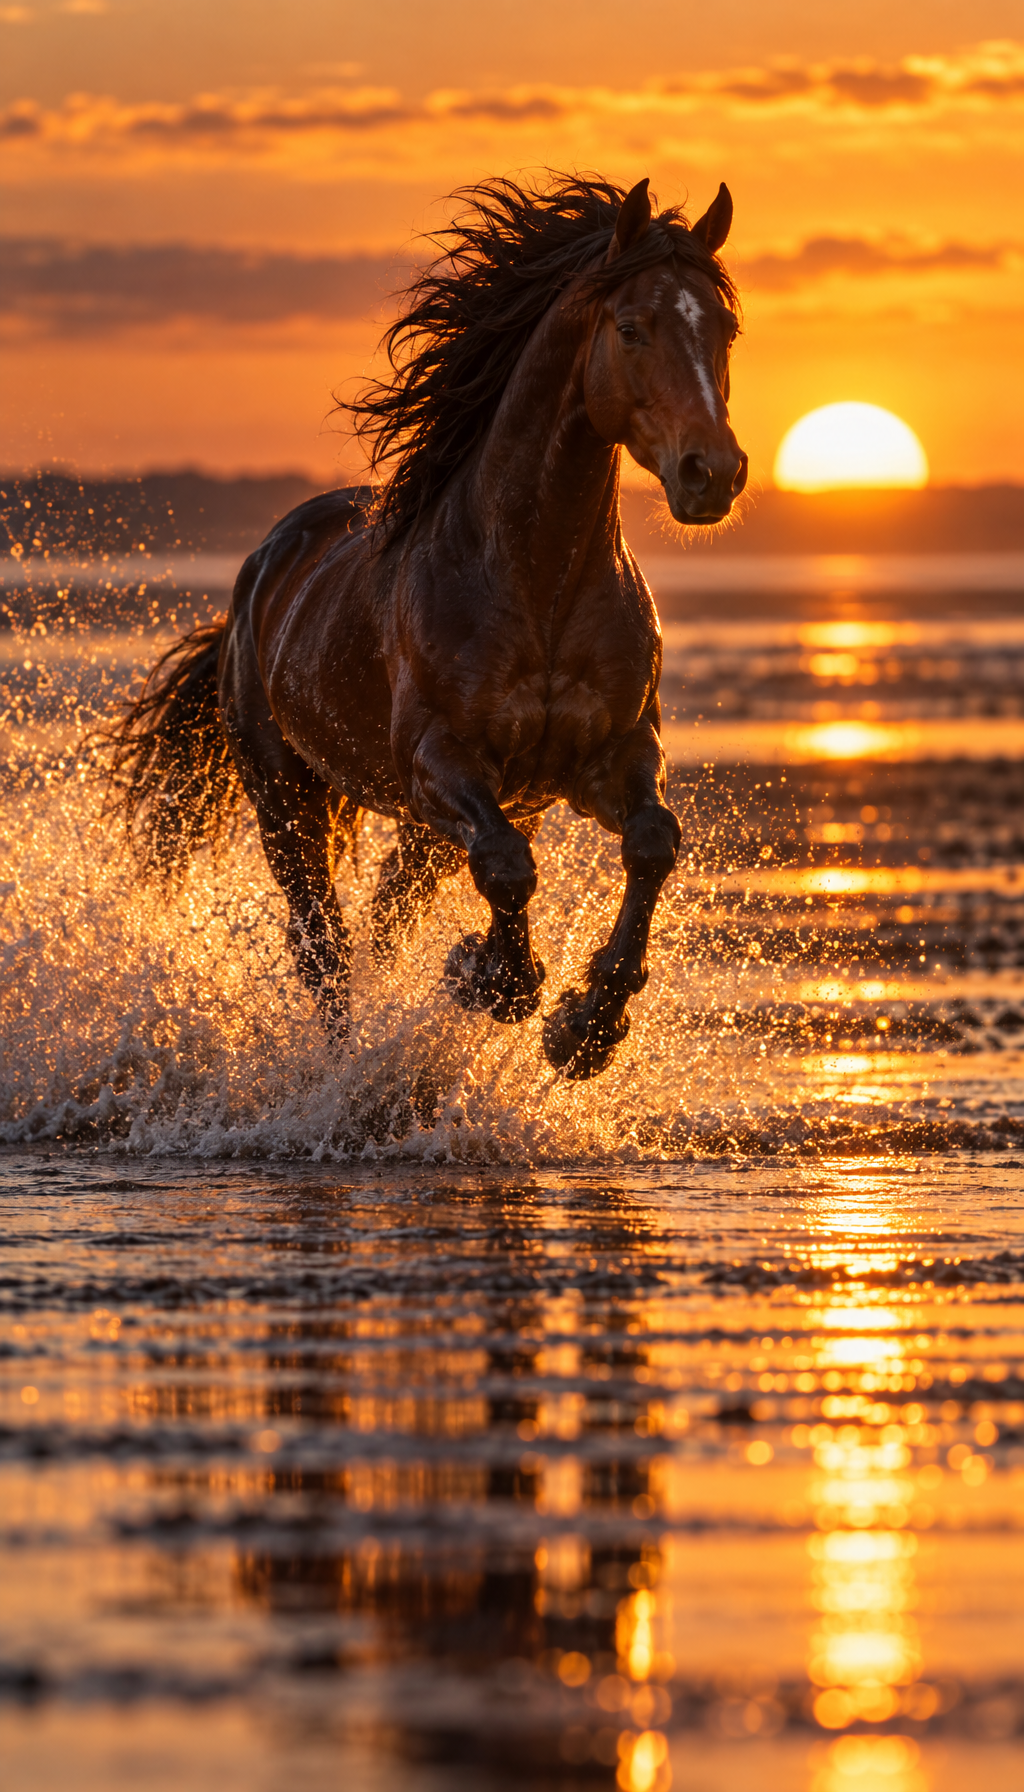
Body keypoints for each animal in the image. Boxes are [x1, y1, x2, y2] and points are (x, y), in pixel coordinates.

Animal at [105, 173, 747, 1080]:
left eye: (724, 328)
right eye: (630, 328)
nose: (712, 473)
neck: (538, 583)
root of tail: (260, 571)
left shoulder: (605, 757)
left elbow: (653, 843)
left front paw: (585, 1026)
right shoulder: (436, 764)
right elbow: (508, 870)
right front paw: (491, 980)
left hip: (436, 827)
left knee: (385, 917)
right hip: (286, 802)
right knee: (323, 944)